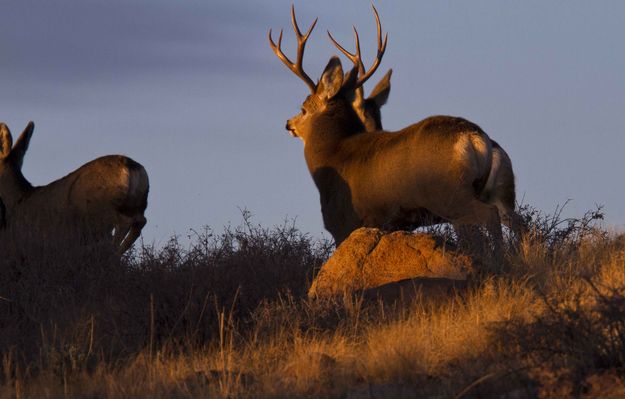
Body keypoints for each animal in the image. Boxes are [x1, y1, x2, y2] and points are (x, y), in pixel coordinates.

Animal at [268, 7, 516, 262]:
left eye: (303, 108)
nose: (288, 124)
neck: (332, 152)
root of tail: (475, 137)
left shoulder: (344, 221)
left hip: (452, 193)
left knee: (489, 216)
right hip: (502, 190)